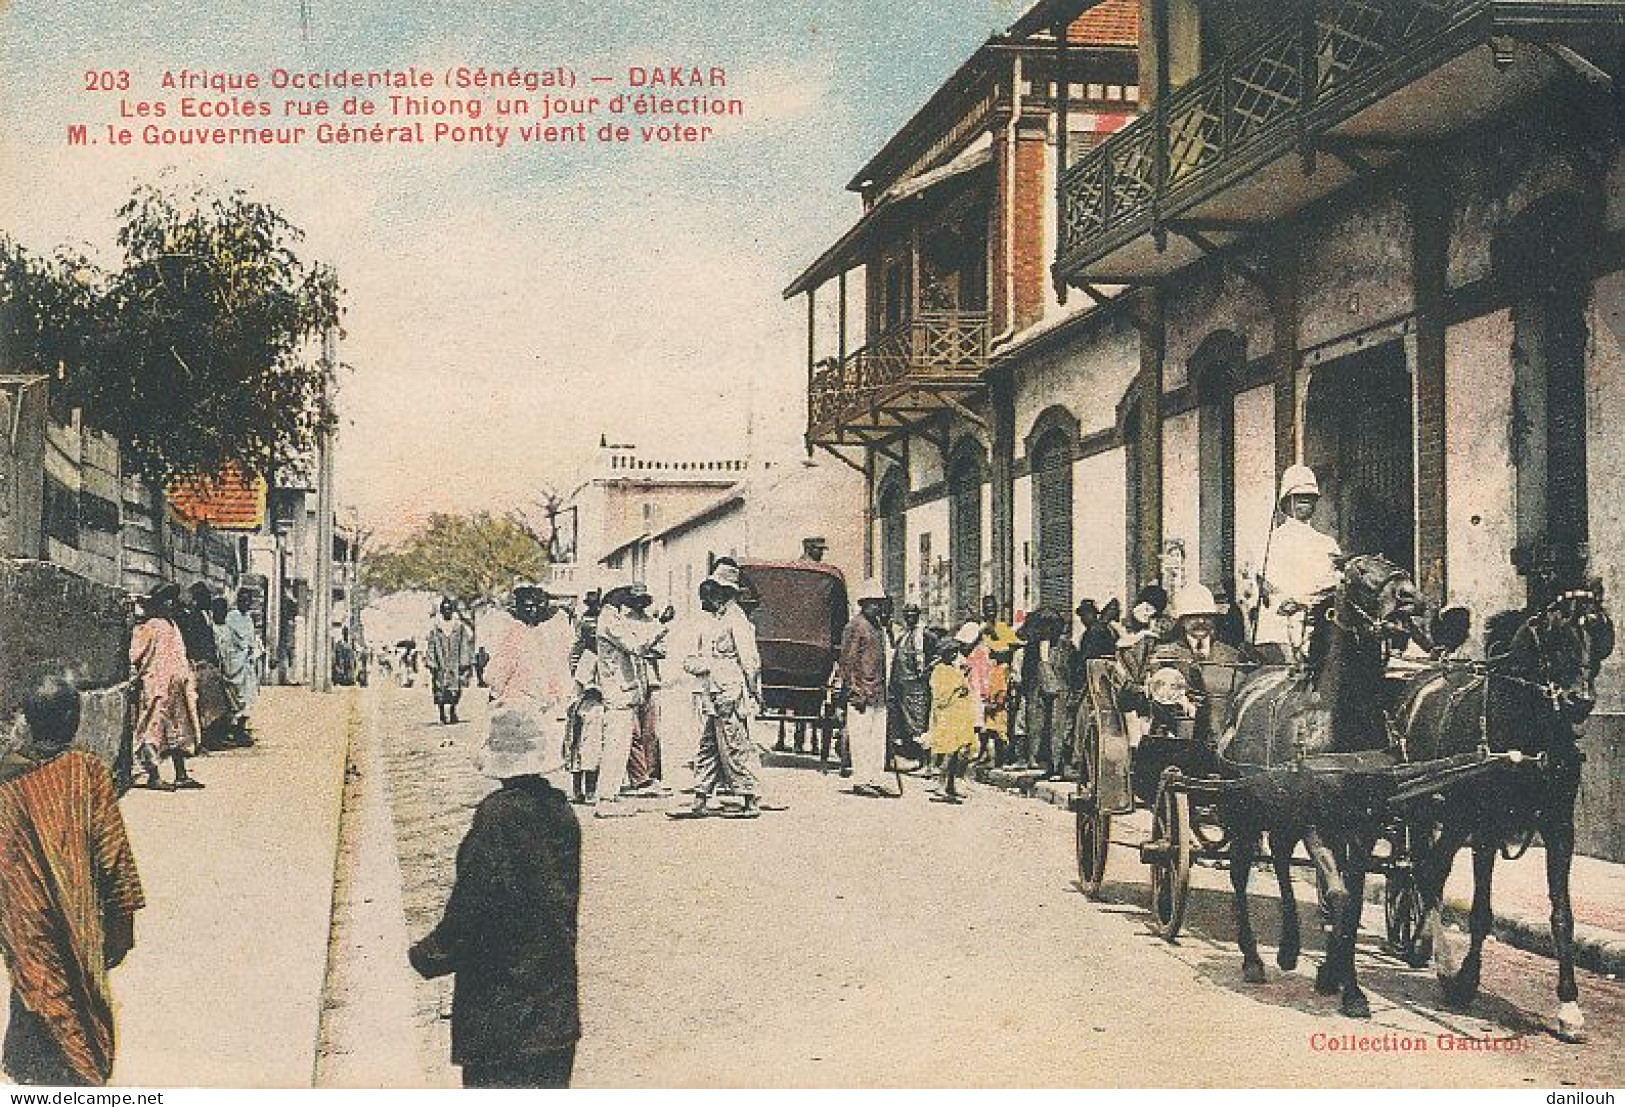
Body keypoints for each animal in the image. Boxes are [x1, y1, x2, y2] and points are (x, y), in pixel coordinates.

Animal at [1209, 552, 1423, 1020]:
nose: (1410, 598)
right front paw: (1344, 983)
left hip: (1281, 812)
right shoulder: (1318, 826)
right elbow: (1339, 897)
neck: (1339, 721)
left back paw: (1289, 948)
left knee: (1281, 862)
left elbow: (1352, 901)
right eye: (1359, 573)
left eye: (1393, 564)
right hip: (1245, 809)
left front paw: (1338, 978)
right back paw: (1253, 959)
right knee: (1240, 872)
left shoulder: (1361, 828)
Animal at [1384, 581, 1612, 1040]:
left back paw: (1423, 945)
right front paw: (1465, 979)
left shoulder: (1560, 828)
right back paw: (1436, 956)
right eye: (1557, 636)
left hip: (1453, 819)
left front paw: (1569, 1006)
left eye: (1599, 634)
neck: (1530, 728)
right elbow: (1480, 913)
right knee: (1423, 871)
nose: (1579, 700)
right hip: (1422, 808)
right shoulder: (1486, 829)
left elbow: (1563, 916)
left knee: (1431, 869)